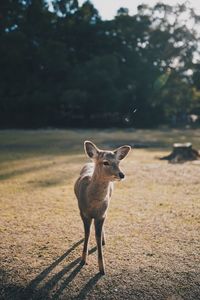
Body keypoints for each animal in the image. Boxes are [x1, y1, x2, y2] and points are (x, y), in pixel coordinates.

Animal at [74, 141, 130, 274]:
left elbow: (97, 238)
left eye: (118, 162)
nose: (121, 175)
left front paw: (102, 268)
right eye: (105, 162)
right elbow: (87, 234)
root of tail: (91, 161)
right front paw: (83, 260)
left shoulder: (101, 215)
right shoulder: (83, 213)